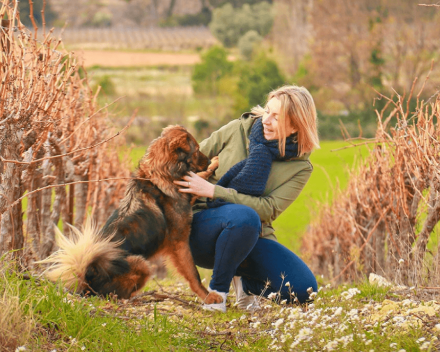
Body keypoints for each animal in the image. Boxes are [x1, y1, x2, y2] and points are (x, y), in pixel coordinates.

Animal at [41, 126, 223, 306]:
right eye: (197, 150)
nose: (208, 161)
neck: (160, 174)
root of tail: (87, 282)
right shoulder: (179, 242)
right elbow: (193, 273)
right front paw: (208, 296)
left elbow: (197, 181)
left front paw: (214, 163)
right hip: (142, 264)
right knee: (117, 295)